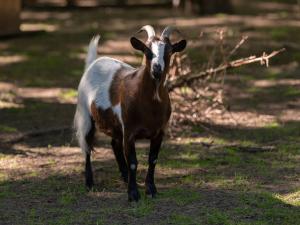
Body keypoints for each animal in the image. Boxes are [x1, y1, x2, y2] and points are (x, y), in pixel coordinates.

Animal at [74, 25, 186, 201]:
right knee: (86, 145)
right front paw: (133, 194)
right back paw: (89, 183)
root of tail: (93, 63)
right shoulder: (129, 131)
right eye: (147, 50)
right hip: (85, 114)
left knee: (114, 144)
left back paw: (125, 177)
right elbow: (133, 162)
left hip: (115, 126)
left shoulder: (159, 132)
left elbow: (153, 159)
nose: (157, 69)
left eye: (169, 51)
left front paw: (151, 189)